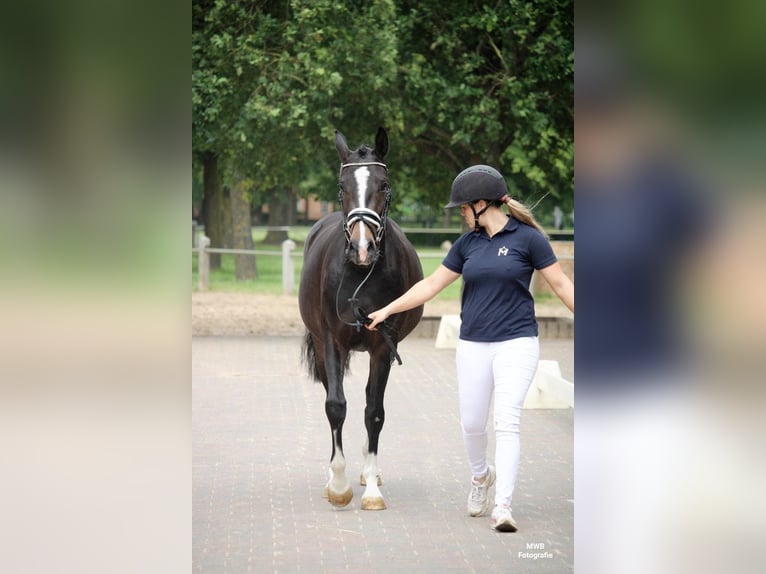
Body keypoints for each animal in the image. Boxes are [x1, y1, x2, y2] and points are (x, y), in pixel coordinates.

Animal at [298, 127, 424, 510]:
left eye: (384, 184)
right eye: (342, 186)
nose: (362, 248)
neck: (362, 275)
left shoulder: (384, 346)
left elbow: (374, 412)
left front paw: (370, 488)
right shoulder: (330, 341)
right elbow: (336, 406)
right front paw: (338, 485)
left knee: (371, 402)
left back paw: (372, 471)